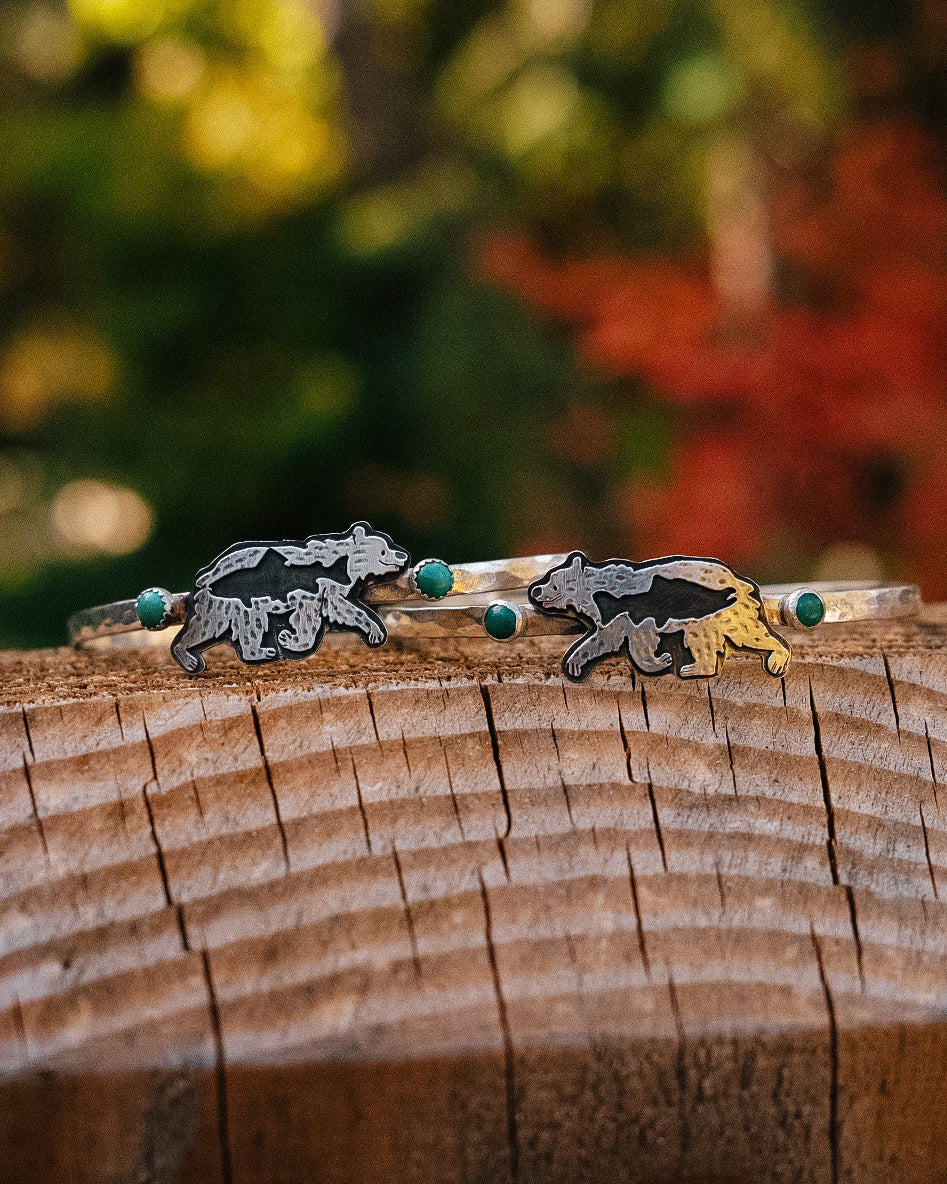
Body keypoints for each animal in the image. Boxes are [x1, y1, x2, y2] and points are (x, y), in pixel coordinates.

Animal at [170, 522, 409, 674]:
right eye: (384, 550)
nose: (403, 555)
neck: (343, 563)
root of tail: (205, 576)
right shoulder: (311, 588)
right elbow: (309, 617)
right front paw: (291, 639)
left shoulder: (331, 589)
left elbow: (343, 609)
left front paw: (374, 631)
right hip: (227, 603)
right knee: (211, 626)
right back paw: (189, 658)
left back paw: (259, 652)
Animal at [528, 552, 792, 682]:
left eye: (553, 582)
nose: (535, 590)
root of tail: (742, 581)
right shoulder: (614, 618)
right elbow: (605, 639)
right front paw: (575, 664)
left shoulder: (632, 613)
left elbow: (640, 642)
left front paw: (660, 661)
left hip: (720, 614)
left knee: (744, 633)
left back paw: (777, 659)